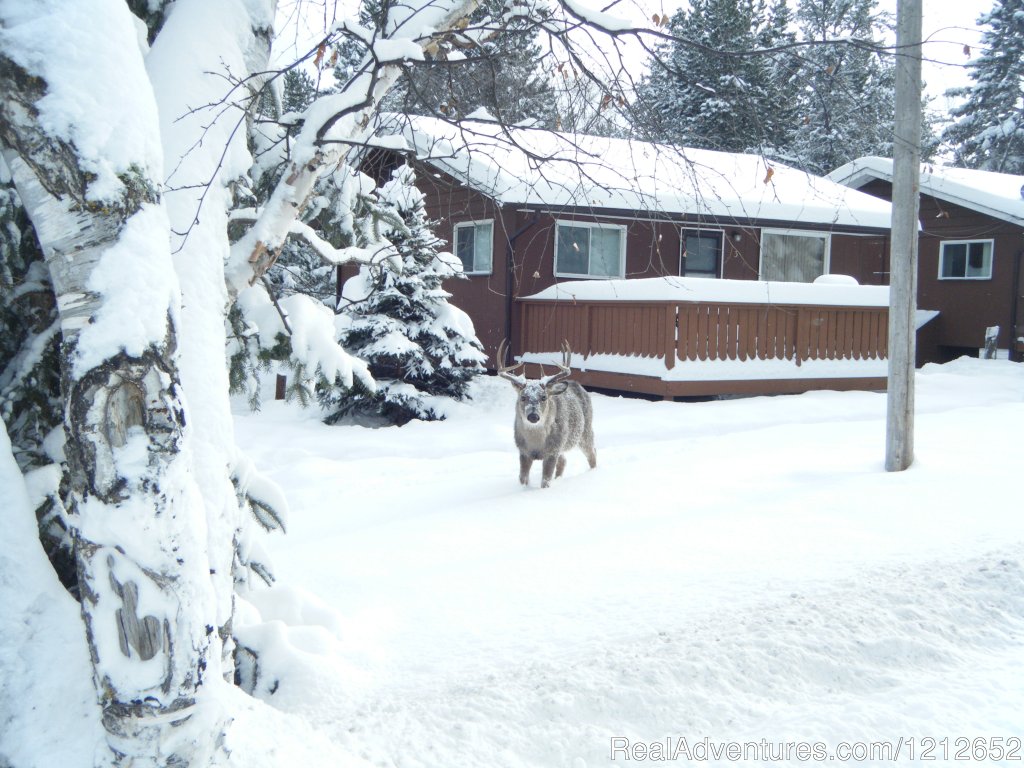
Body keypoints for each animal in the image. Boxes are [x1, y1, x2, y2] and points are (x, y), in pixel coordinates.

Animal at [493, 342, 593, 489]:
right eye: (523, 397)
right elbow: (522, 478)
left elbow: (545, 481)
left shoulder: (552, 451)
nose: (533, 416)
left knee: (592, 455)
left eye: (544, 397)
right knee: (563, 461)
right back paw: (559, 479)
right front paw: (523, 489)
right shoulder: (523, 451)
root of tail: (577, 384)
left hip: (585, 432)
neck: (536, 444)